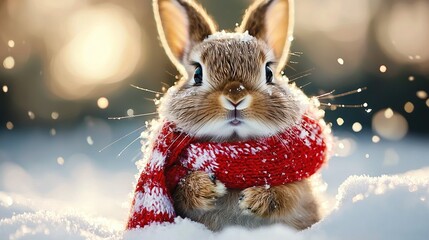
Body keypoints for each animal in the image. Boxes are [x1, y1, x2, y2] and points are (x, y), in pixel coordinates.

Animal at [152, 0, 320, 232]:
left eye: (269, 72)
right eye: (197, 74)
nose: (235, 96)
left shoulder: (300, 189)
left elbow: (287, 195)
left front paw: (254, 199)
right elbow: (182, 192)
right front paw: (207, 188)